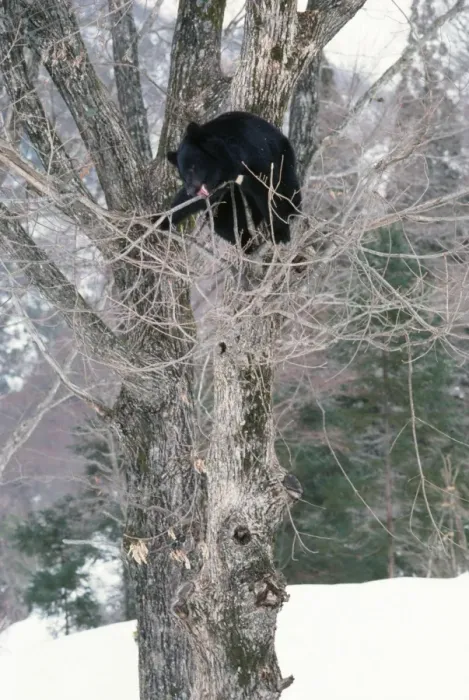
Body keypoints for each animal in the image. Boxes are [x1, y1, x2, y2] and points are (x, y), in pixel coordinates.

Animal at [160, 111, 301, 251]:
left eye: (192, 168)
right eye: (182, 176)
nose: (192, 191)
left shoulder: (256, 156)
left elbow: (268, 189)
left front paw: (280, 233)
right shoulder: (221, 183)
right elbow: (188, 202)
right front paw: (162, 220)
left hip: (282, 156)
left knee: (287, 183)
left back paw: (293, 210)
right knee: (224, 222)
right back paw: (245, 244)